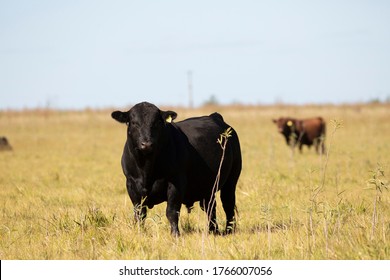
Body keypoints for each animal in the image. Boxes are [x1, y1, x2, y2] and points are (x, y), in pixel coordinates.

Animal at [111, 101, 242, 235]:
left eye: (157, 122)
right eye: (133, 123)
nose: (146, 144)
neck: (146, 170)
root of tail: (214, 116)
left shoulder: (176, 183)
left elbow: (172, 212)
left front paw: (175, 234)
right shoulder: (131, 185)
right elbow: (139, 213)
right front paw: (140, 232)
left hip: (232, 179)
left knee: (228, 204)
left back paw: (229, 230)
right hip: (207, 185)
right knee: (210, 207)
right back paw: (212, 230)